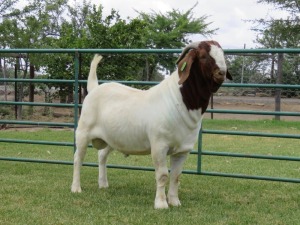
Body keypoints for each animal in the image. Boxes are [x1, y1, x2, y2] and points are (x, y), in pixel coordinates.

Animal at [71, 40, 232, 209]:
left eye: (222, 54)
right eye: (203, 56)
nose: (221, 73)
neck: (179, 101)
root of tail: (94, 88)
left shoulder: (183, 150)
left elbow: (176, 176)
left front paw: (174, 201)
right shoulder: (159, 146)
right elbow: (162, 175)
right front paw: (161, 204)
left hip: (111, 138)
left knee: (102, 156)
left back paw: (103, 184)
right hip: (82, 132)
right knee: (78, 158)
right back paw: (76, 188)